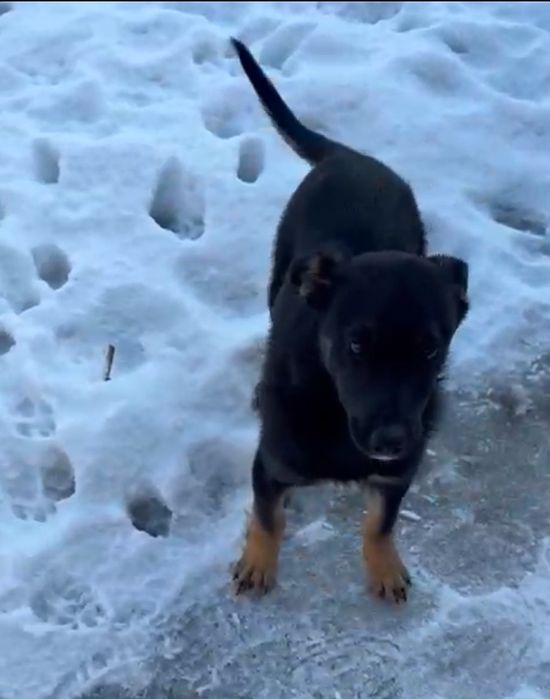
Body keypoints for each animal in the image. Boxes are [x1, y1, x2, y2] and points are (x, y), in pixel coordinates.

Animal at [231, 38, 469, 603]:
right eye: (356, 345)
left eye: (431, 348)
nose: (390, 440)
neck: (333, 406)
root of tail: (349, 155)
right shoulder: (272, 462)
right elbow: (268, 516)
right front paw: (259, 563)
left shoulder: (400, 471)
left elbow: (381, 520)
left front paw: (383, 566)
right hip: (278, 268)